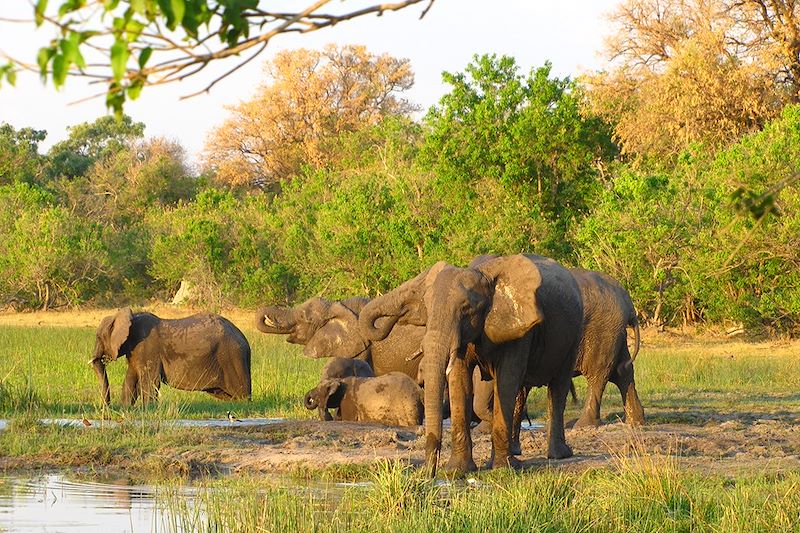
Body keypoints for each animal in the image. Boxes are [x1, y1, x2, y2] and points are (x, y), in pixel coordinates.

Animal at [88, 306, 252, 406]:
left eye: (98, 337)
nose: (107, 407)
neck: (129, 316)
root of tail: (244, 340)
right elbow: (130, 380)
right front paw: (126, 408)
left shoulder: (147, 349)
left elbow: (149, 381)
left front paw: (147, 409)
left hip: (232, 357)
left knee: (241, 394)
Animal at [360, 255, 584, 474]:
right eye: (427, 308)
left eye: (466, 309)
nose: (429, 474)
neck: (483, 274)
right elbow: (459, 380)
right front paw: (457, 470)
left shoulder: (519, 329)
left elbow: (507, 379)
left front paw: (503, 469)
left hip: (574, 336)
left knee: (558, 387)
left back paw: (558, 454)